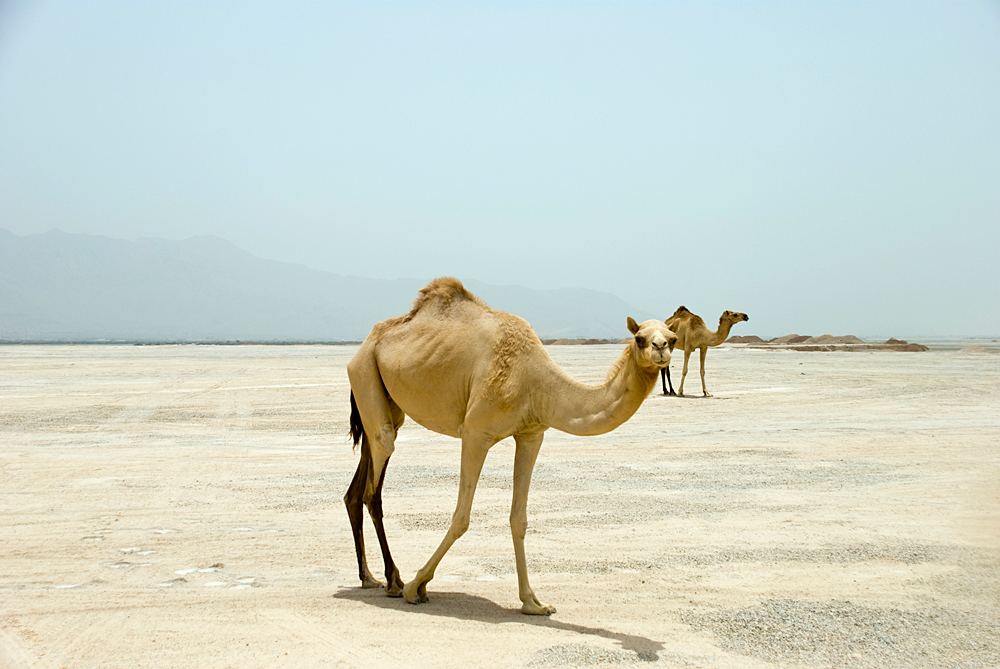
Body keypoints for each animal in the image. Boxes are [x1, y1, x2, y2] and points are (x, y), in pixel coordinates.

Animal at [340, 278, 676, 616]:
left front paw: (533, 602)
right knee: (375, 483)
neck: (535, 380)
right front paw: (416, 586)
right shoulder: (475, 432)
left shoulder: (531, 434)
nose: (660, 348)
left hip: (385, 404)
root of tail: (365, 344)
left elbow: (519, 519)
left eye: (673, 339)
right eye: (639, 338)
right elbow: (461, 517)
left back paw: (369, 577)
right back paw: (394, 581)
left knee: (358, 486)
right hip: (365, 374)